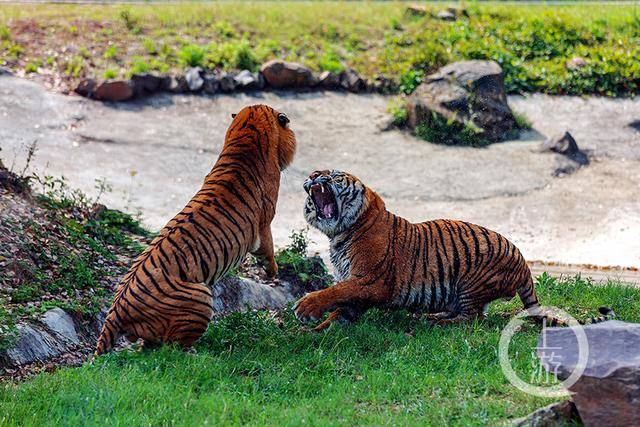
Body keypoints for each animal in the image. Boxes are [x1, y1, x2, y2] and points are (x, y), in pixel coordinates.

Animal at [95, 103, 298, 354]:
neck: (245, 138)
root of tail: (116, 311)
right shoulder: (264, 224)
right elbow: (268, 249)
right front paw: (272, 271)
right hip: (201, 297)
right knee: (170, 349)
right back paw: (197, 354)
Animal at [292, 171, 612, 332]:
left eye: (333, 175)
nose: (313, 174)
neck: (340, 233)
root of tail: (525, 266)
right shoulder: (358, 285)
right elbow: (342, 306)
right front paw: (317, 330)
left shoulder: (372, 280)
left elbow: (335, 292)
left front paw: (305, 308)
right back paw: (432, 315)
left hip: (470, 281)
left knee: (474, 318)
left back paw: (435, 321)